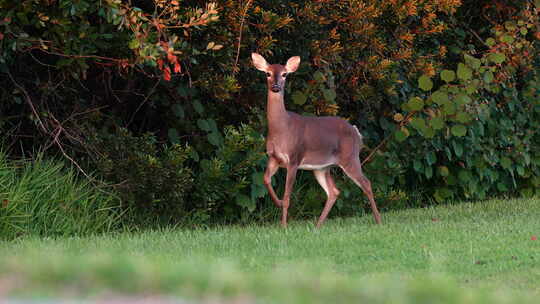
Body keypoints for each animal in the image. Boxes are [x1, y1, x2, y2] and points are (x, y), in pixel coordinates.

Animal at [251, 52, 382, 228]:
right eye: (267, 73)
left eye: (285, 74)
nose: (276, 87)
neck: (282, 128)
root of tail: (356, 131)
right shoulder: (273, 157)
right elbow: (265, 180)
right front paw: (278, 203)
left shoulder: (294, 158)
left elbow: (287, 196)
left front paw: (283, 226)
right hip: (322, 167)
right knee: (334, 191)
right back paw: (318, 226)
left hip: (350, 157)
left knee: (366, 183)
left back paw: (378, 221)